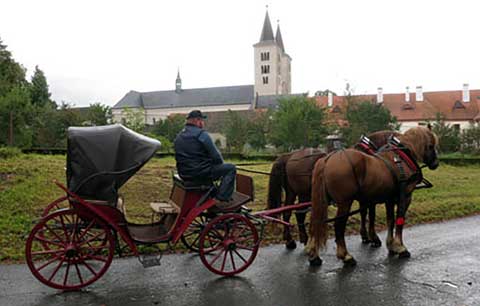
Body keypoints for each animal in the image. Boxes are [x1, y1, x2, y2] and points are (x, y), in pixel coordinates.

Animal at [308, 126, 438, 266]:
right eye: (431, 145)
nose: (436, 163)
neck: (401, 157)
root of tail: (327, 159)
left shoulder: (388, 199)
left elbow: (390, 220)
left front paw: (391, 245)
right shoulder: (405, 196)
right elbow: (399, 220)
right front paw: (400, 247)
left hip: (322, 201)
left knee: (316, 221)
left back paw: (313, 255)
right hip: (345, 203)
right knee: (339, 226)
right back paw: (346, 256)